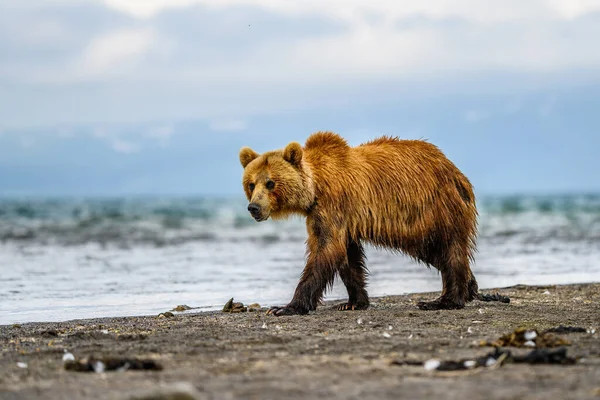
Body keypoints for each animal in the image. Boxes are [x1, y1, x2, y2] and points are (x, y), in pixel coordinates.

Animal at [238, 131, 506, 316]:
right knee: (439, 253)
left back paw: (444, 300)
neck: (316, 187)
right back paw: (471, 287)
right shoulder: (332, 216)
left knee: (448, 249)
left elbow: (326, 250)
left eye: (270, 182)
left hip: (436, 209)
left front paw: (285, 307)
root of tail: (457, 173)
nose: (254, 207)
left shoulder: (333, 205)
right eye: (251, 183)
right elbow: (347, 256)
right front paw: (353, 303)